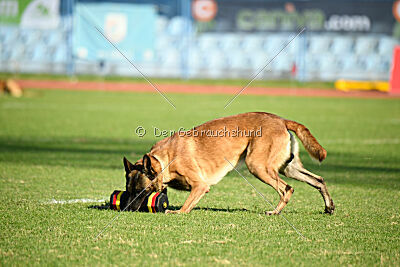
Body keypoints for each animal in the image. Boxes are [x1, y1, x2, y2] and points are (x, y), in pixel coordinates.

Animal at [124, 112, 334, 216]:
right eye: (128, 191)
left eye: (142, 192)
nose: (128, 211)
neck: (166, 158)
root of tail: (281, 120)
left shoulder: (200, 185)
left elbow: (187, 204)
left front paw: (178, 212)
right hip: (287, 168)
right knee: (319, 180)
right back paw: (329, 207)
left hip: (257, 166)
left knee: (287, 189)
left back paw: (274, 212)